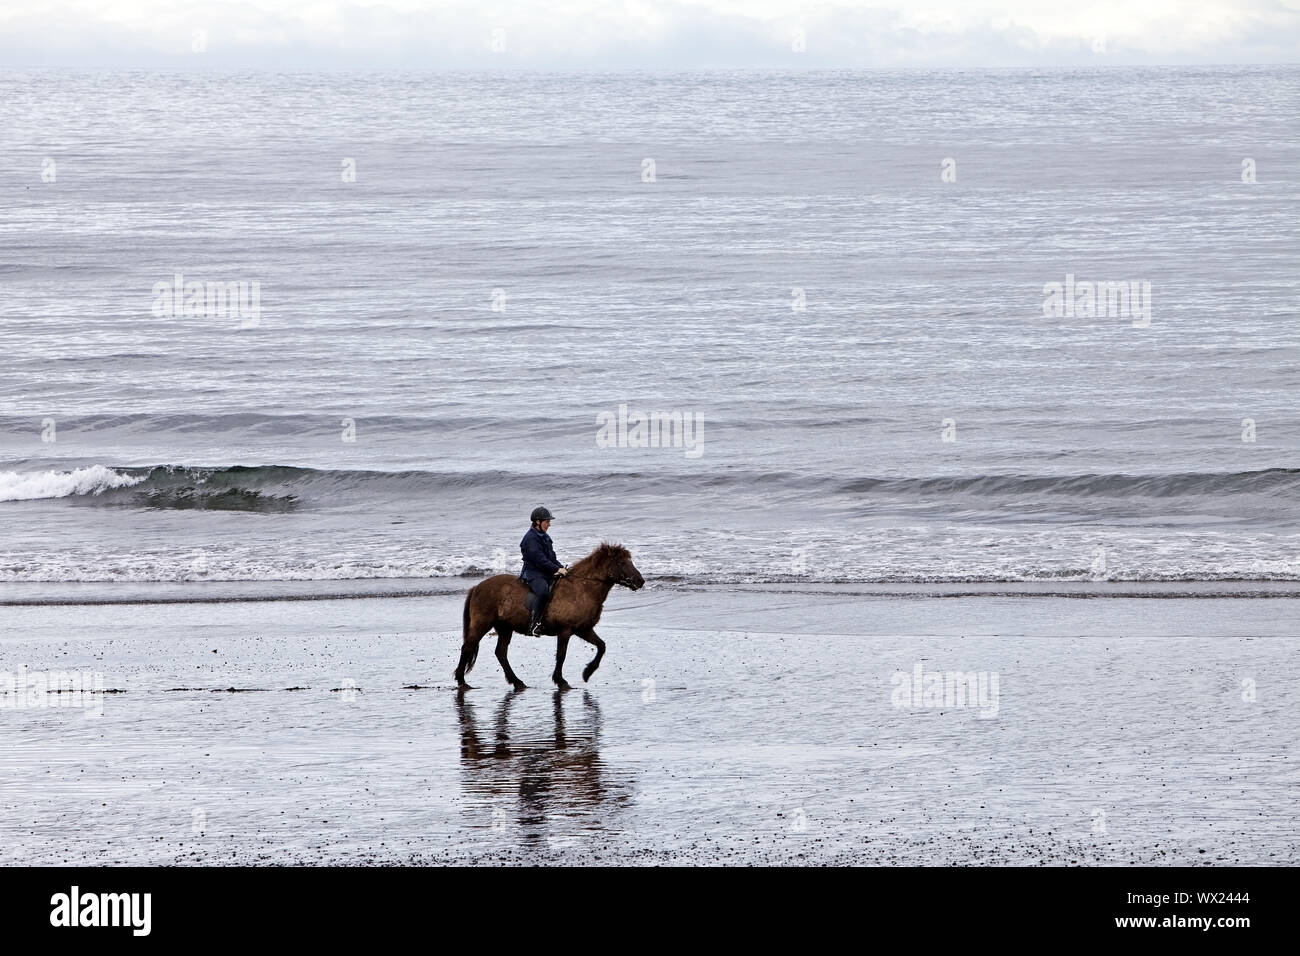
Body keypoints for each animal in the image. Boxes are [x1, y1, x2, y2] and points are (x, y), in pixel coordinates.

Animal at [457, 541, 644, 691]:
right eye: (621, 562)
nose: (640, 581)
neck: (582, 588)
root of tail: (477, 587)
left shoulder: (583, 629)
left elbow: (602, 646)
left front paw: (587, 673)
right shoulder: (565, 630)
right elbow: (561, 655)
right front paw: (561, 681)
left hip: (504, 628)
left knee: (501, 653)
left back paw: (517, 682)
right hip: (482, 624)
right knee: (467, 647)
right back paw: (462, 681)